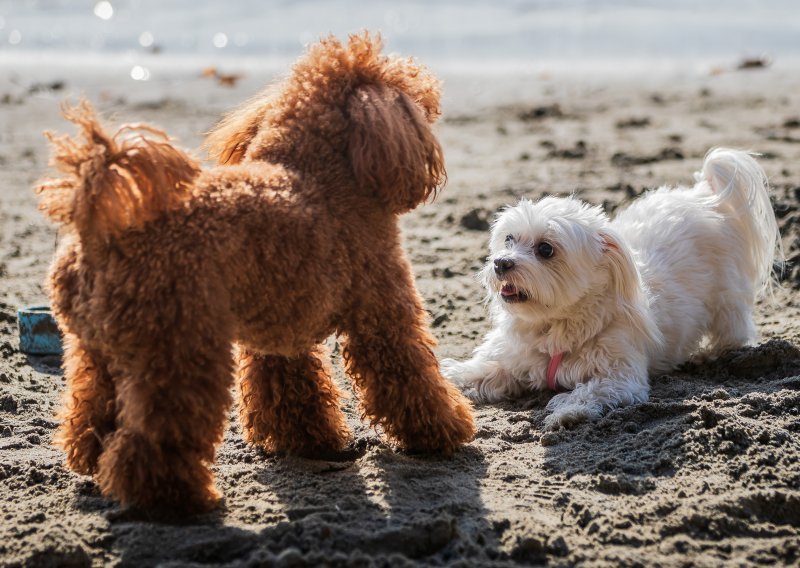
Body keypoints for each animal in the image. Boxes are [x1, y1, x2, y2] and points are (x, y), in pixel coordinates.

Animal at [36, 33, 476, 516]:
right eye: (416, 93)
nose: (432, 104)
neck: (316, 175)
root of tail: (102, 235)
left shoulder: (281, 333)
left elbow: (293, 389)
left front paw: (308, 442)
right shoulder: (382, 314)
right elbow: (411, 376)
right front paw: (443, 432)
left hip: (95, 351)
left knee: (90, 413)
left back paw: (91, 460)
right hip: (178, 351)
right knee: (154, 437)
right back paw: (179, 500)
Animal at [440, 149, 780, 428]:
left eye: (546, 249)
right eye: (509, 239)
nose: (501, 263)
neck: (554, 326)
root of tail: (701, 195)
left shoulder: (620, 375)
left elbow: (591, 390)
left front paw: (567, 410)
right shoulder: (512, 359)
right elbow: (480, 370)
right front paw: (450, 378)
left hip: (726, 297)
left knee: (734, 329)